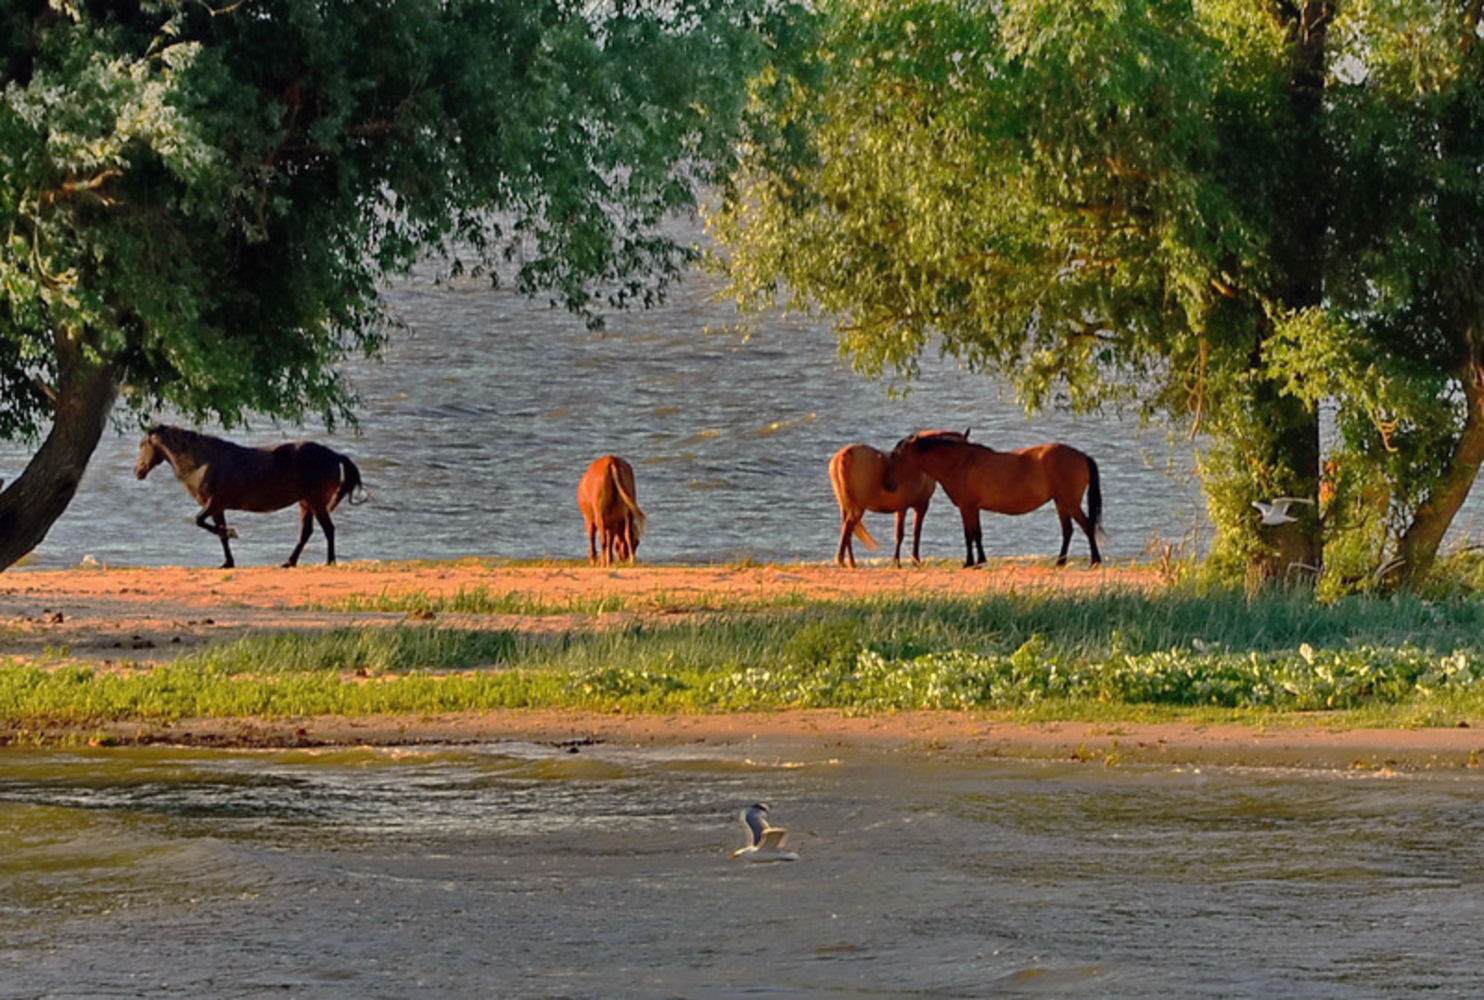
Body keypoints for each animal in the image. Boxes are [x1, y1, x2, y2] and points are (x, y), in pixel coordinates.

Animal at [134, 421, 365, 569]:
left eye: (142, 445)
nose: (138, 471)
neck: (203, 464)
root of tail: (335, 456)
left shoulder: (214, 503)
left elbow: (201, 521)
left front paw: (232, 533)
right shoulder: (217, 508)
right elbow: (218, 533)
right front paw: (227, 562)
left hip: (316, 502)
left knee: (328, 529)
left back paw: (329, 561)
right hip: (305, 503)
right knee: (306, 532)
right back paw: (289, 562)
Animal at [884, 427, 1110, 569]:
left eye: (896, 456)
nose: (888, 485)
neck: (960, 462)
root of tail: (1081, 456)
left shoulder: (966, 507)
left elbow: (969, 535)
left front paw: (970, 562)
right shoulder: (973, 508)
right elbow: (977, 534)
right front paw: (980, 561)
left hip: (1069, 502)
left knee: (1087, 526)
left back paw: (1094, 561)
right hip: (1061, 503)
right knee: (1068, 530)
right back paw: (1060, 562)